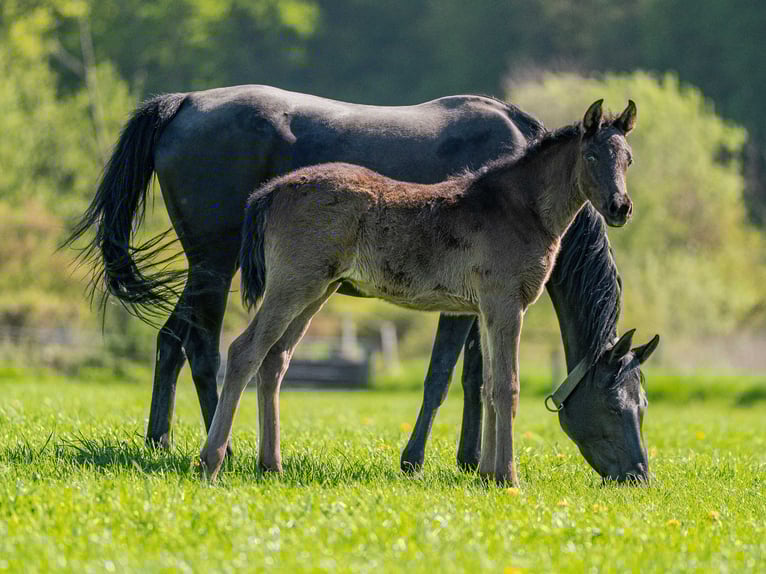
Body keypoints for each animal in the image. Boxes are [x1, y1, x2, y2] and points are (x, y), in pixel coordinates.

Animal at [199, 100, 642, 485]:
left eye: (628, 159)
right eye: (591, 156)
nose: (620, 207)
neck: (519, 208)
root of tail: (270, 192)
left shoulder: (485, 311)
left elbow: (487, 386)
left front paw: (486, 474)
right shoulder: (505, 303)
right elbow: (506, 387)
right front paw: (507, 476)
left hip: (316, 291)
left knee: (275, 360)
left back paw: (270, 465)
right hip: (292, 285)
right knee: (244, 352)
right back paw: (212, 461)